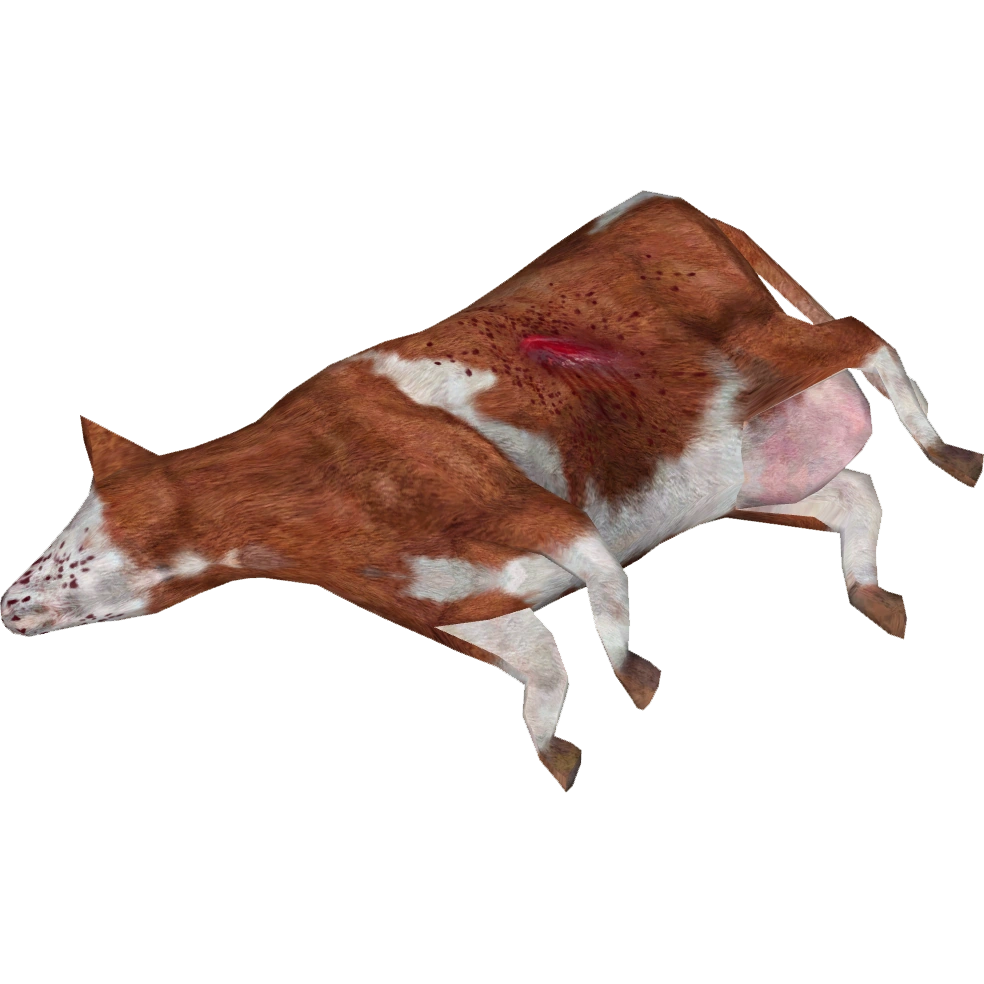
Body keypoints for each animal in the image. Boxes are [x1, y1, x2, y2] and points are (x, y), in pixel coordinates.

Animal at [2, 190, 980, 792]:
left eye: (76, 547)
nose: (10, 600)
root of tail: (648, 204)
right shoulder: (454, 604)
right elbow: (539, 668)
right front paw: (559, 753)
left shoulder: (532, 511)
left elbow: (605, 588)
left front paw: (635, 674)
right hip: (736, 469)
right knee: (856, 495)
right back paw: (876, 596)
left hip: (760, 351)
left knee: (866, 337)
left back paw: (951, 453)